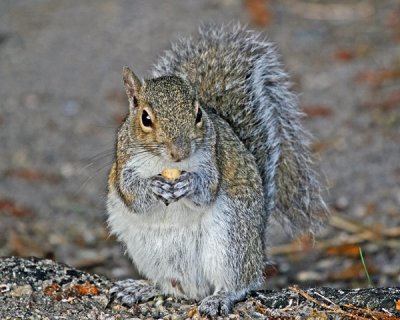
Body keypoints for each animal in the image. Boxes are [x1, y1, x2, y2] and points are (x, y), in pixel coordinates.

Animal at [107, 24, 328, 316]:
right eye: (145, 118)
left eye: (198, 114)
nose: (180, 153)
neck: (167, 165)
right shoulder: (125, 166)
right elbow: (133, 195)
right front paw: (153, 186)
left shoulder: (213, 161)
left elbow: (207, 190)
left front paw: (189, 183)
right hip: (148, 250)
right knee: (171, 287)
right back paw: (141, 287)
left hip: (230, 238)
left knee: (239, 282)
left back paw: (219, 297)